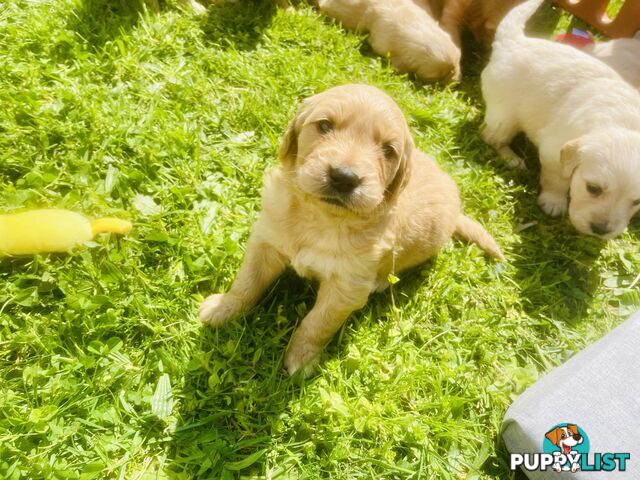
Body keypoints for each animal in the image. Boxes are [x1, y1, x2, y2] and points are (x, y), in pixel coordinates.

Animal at [198, 83, 502, 376]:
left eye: (388, 150)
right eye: (324, 125)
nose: (344, 177)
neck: (321, 218)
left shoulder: (346, 288)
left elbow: (317, 323)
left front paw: (302, 359)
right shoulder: (265, 241)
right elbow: (246, 282)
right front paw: (222, 309)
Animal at [482, 0, 640, 239]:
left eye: (637, 202)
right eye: (593, 188)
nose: (600, 231)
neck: (623, 125)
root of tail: (514, 41)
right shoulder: (553, 152)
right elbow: (557, 180)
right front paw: (554, 202)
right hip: (504, 117)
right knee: (491, 137)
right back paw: (512, 158)